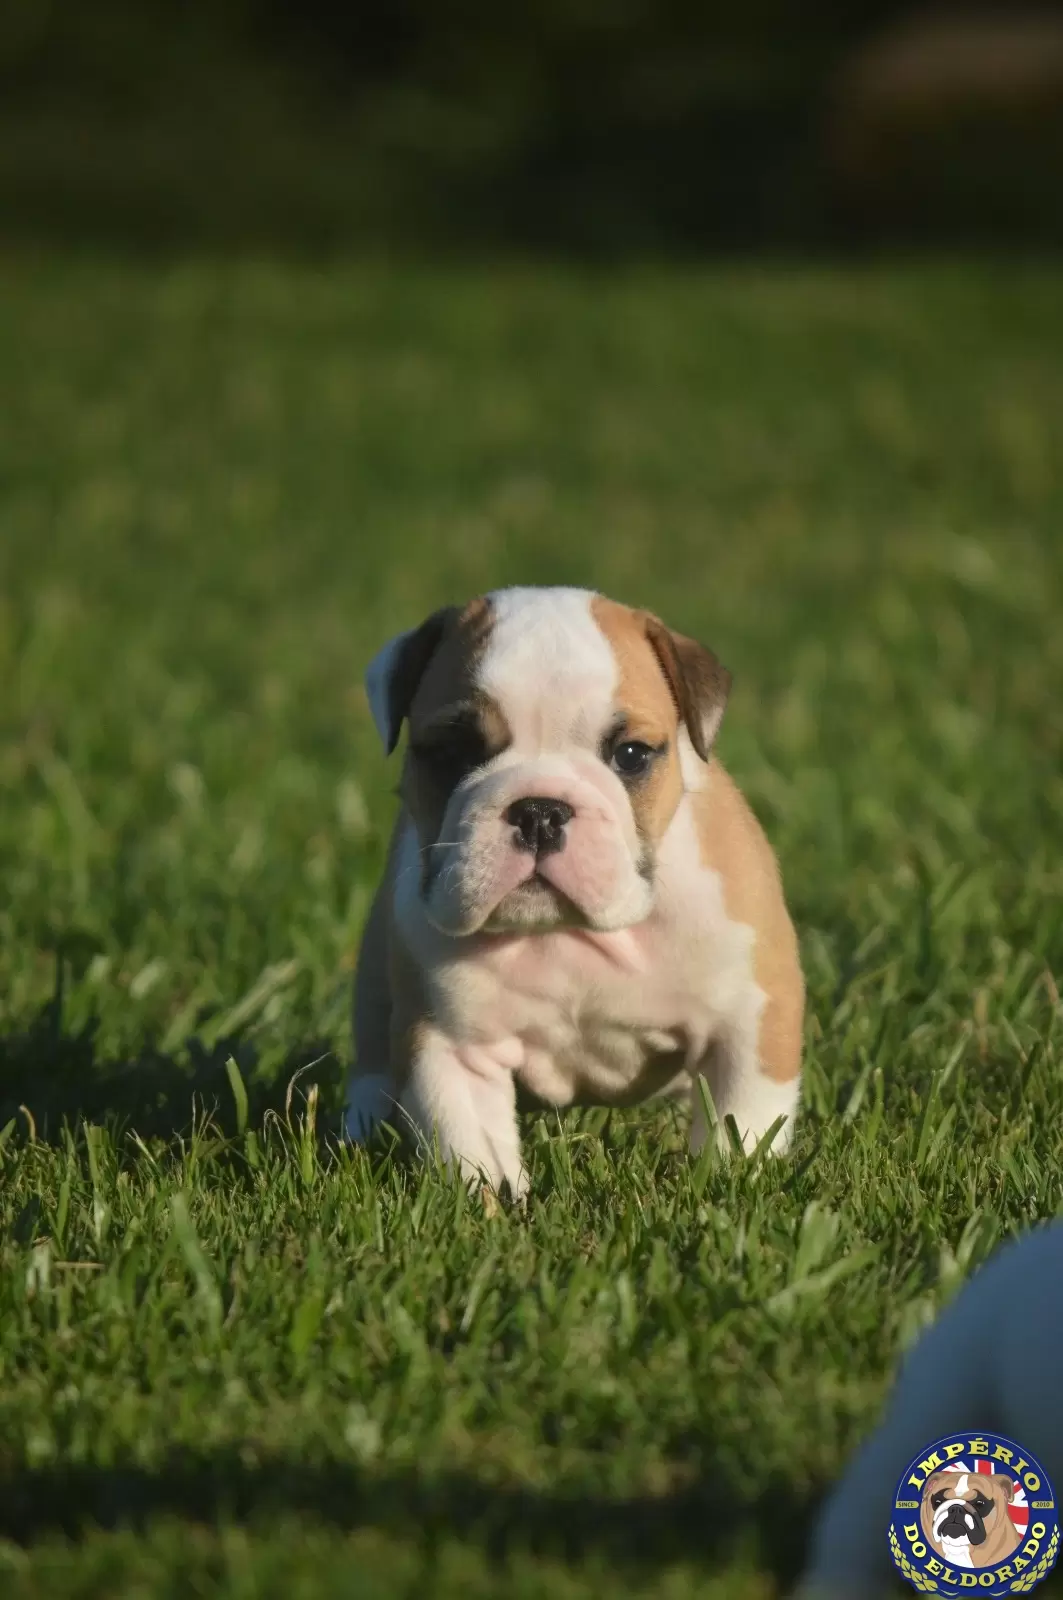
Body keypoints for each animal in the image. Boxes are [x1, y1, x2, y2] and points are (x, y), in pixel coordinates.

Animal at [344, 585, 800, 1190]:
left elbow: (743, 1119)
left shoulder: (749, 1018)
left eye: (631, 754)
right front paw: (489, 1204)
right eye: (453, 752)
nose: (539, 810)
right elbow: (472, 1149)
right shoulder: (450, 1045)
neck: (566, 934)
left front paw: (731, 1183)